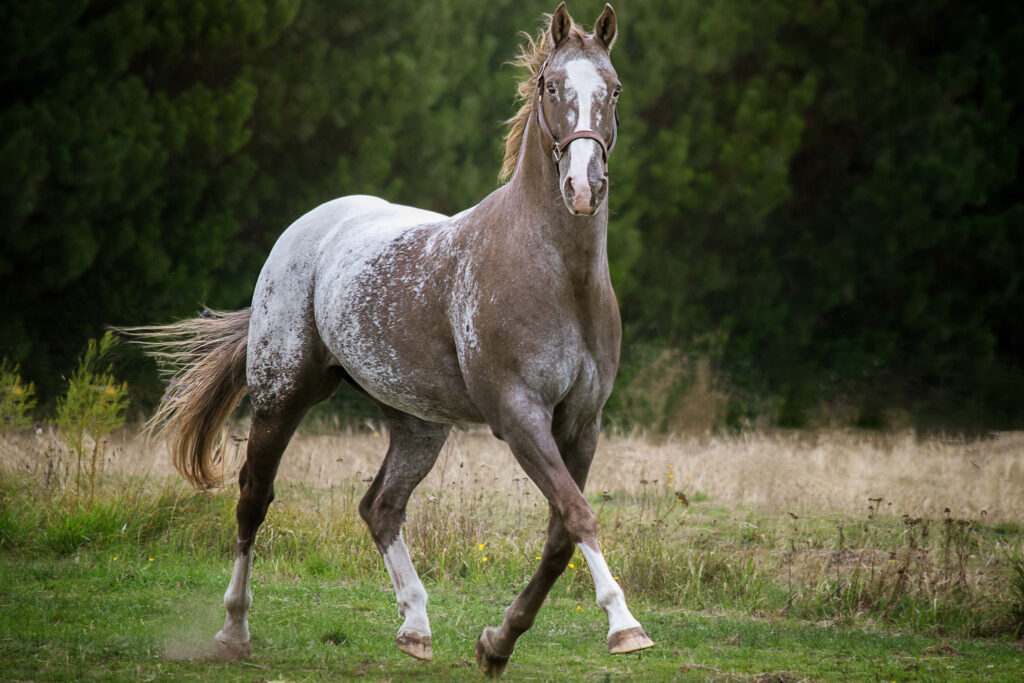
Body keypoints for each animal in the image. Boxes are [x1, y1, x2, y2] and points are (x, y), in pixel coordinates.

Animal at [130, 3, 655, 679]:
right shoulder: (519, 416)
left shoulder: (581, 424)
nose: (583, 188)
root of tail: (312, 226)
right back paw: (234, 631)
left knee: (380, 506)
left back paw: (415, 627)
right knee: (253, 497)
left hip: (417, 425)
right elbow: (578, 514)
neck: (559, 278)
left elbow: (561, 534)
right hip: (282, 397)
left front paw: (497, 642)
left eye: (613, 90)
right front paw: (624, 625)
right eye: (551, 86)